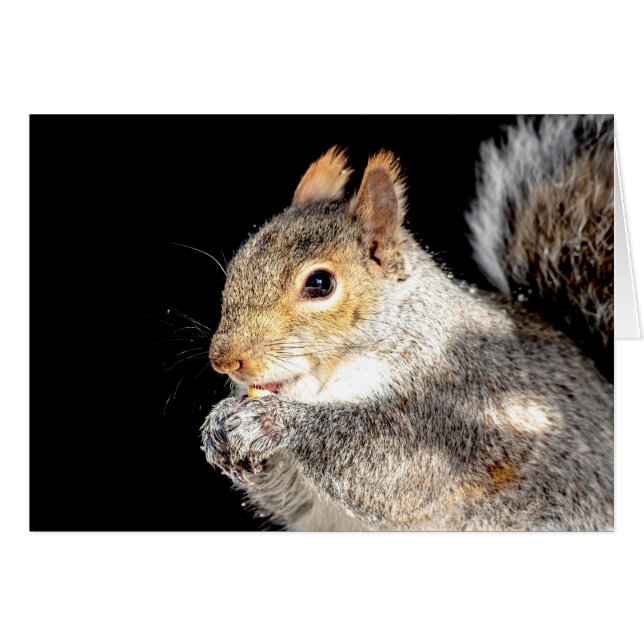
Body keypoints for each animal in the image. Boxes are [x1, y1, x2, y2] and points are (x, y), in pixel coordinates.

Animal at [201, 115, 614, 531]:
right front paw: (218, 425)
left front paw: (271, 422)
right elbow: (290, 497)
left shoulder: (452, 410)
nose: (224, 360)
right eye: (237, 264)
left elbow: (396, 469)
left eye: (319, 284)